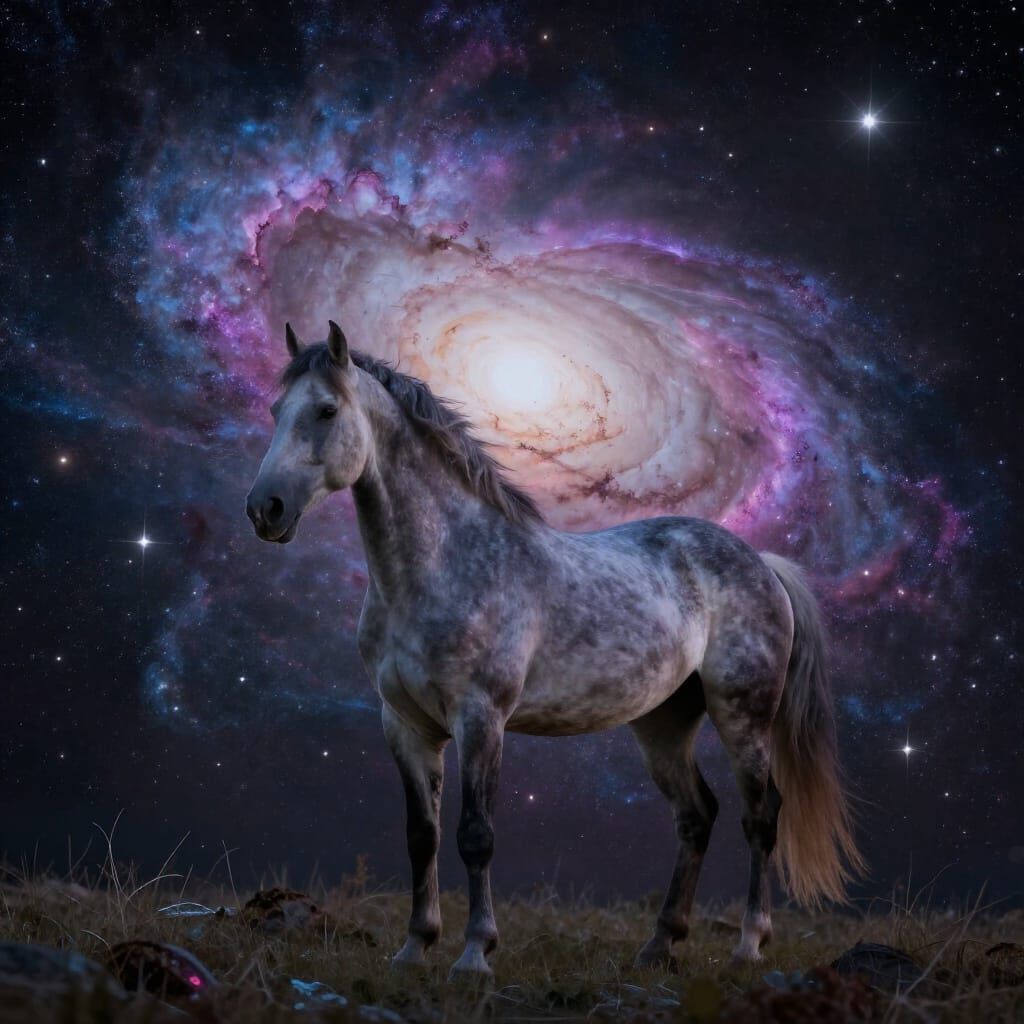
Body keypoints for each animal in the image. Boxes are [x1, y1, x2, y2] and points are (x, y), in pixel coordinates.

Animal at [246, 321, 864, 978]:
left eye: (326, 410)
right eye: (275, 410)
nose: (265, 509)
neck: (440, 564)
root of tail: (763, 564)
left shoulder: (481, 718)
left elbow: (475, 835)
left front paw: (475, 953)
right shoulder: (405, 725)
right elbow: (422, 837)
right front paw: (415, 947)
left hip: (743, 717)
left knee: (760, 816)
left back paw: (748, 945)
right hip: (664, 724)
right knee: (697, 816)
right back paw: (659, 944)